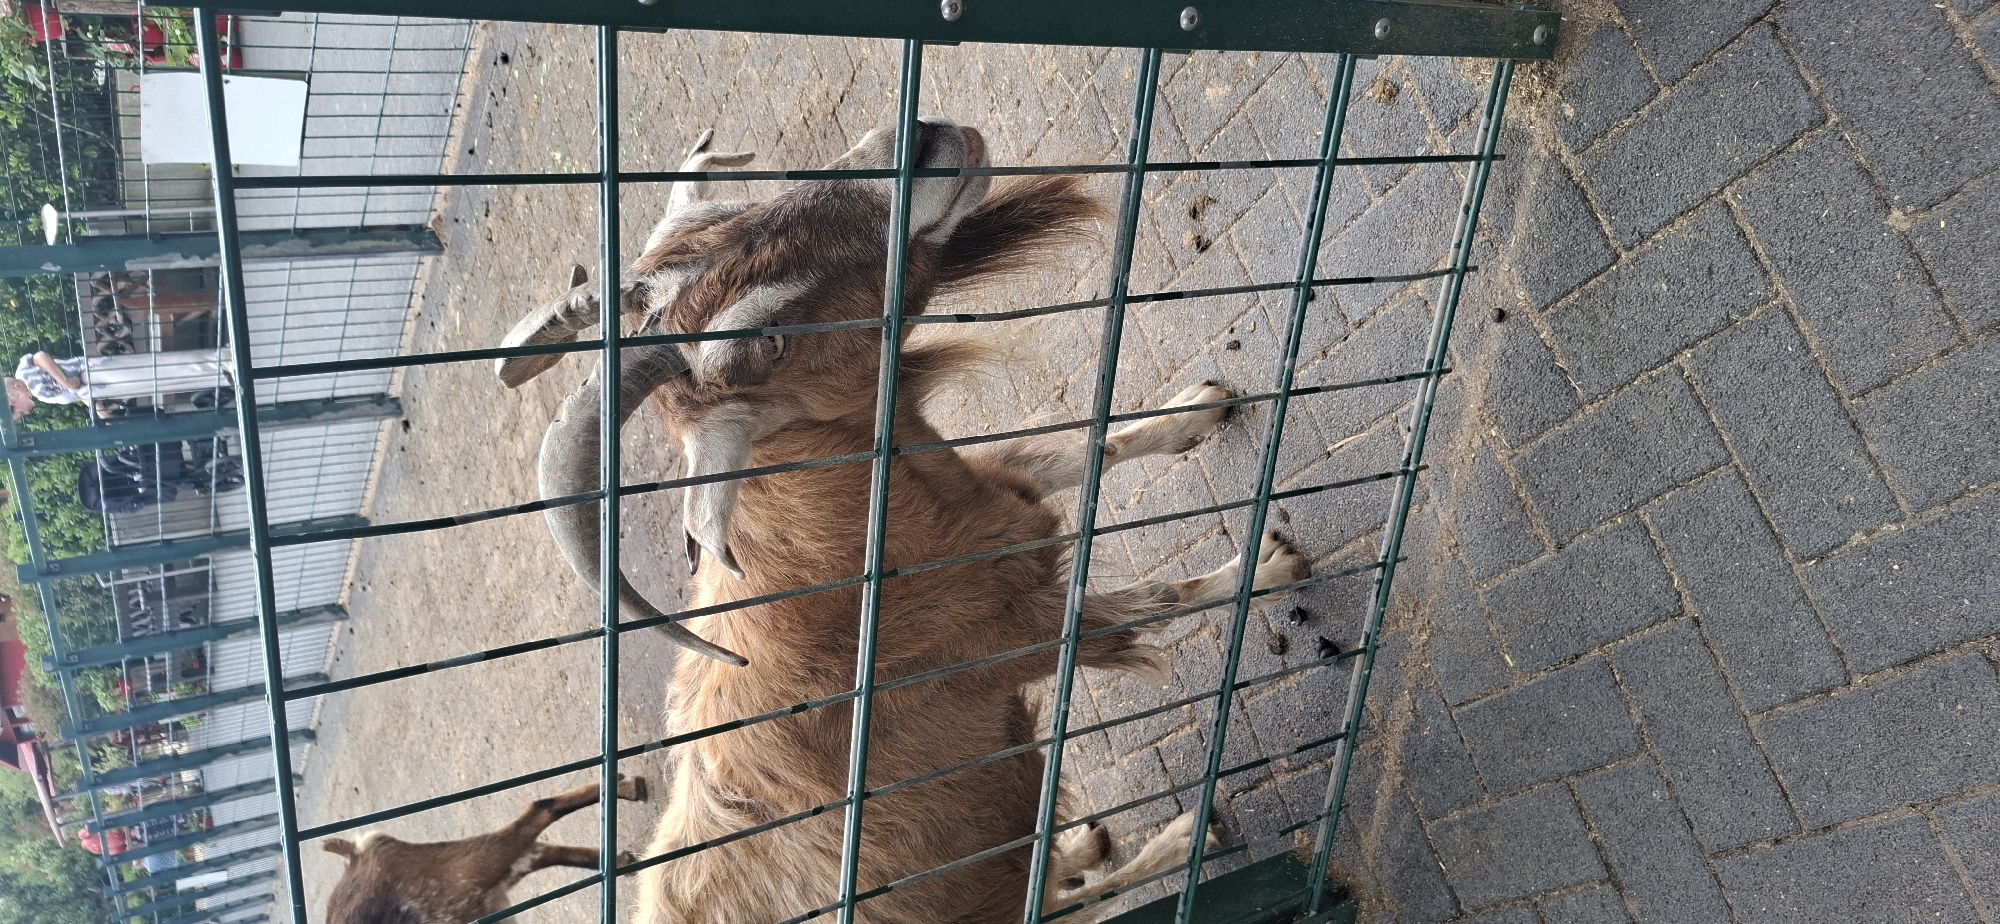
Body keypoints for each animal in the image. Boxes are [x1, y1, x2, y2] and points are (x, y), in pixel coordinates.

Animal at [321, 777, 648, 924]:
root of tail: (356, 852)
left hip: (464, 879)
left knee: (539, 811)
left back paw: (631, 787)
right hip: (487, 890)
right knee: (537, 847)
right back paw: (622, 857)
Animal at [499, 120, 1307, 923]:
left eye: (740, 210)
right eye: (766, 341)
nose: (920, 142)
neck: (841, 576)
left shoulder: (1005, 493)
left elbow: (1094, 447)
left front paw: (1199, 409)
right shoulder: (1024, 637)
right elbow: (1159, 598)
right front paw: (1270, 565)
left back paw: (1082, 843)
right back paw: (1176, 836)